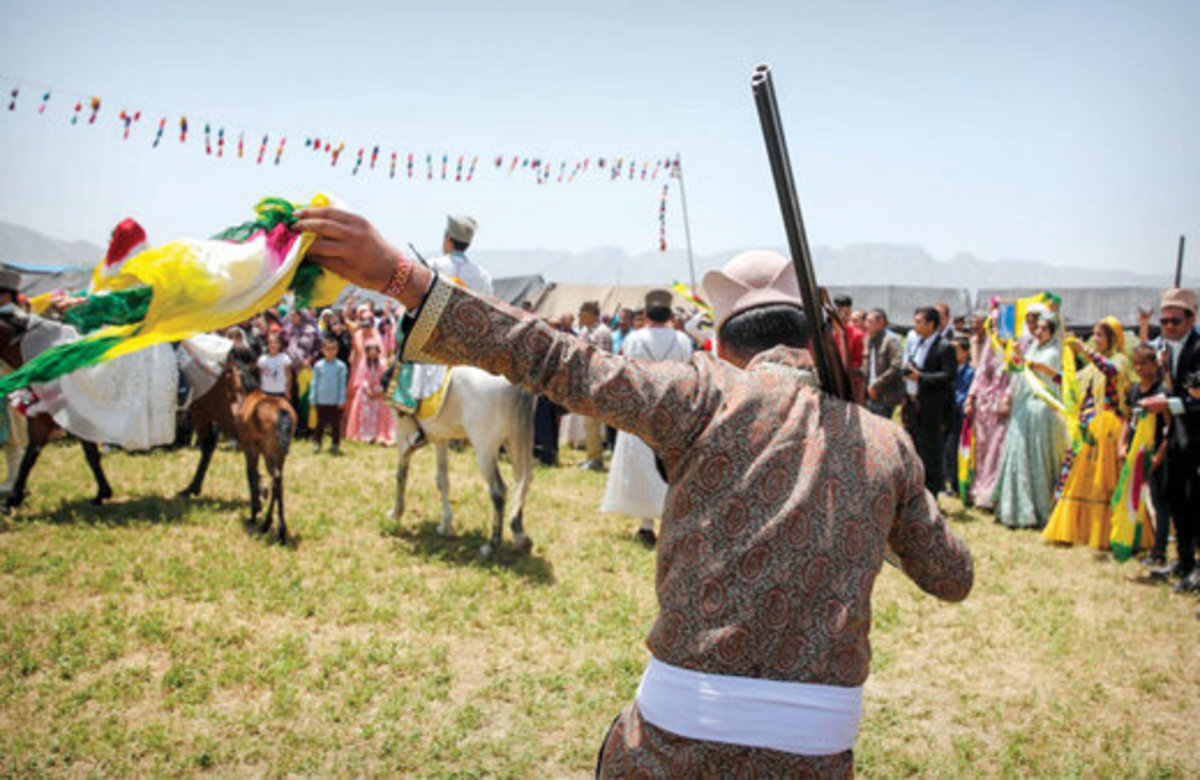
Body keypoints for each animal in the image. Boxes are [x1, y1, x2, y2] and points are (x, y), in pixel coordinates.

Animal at [0, 309, 292, 535]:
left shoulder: (57, 418)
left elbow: (32, 458)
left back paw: (258, 498)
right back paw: (194, 488)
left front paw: (11, 500)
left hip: (223, 411)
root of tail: (229, 352)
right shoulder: (73, 420)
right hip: (201, 410)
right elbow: (78, 456)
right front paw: (101, 492)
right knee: (210, 445)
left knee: (244, 447)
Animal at [391, 367, 537, 556]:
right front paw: (445, 525)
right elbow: (443, 480)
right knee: (522, 485)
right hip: (515, 443)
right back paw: (521, 538)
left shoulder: (403, 434)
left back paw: (491, 545)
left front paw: (395, 513)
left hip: (485, 449)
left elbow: (401, 475)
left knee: (499, 491)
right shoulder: (440, 439)